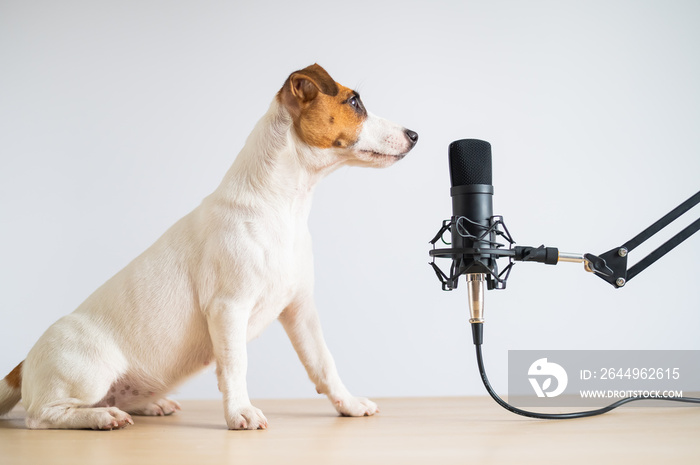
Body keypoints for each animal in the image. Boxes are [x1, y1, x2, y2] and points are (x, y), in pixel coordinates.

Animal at [0, 63, 416, 430]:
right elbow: (235, 365)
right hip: (89, 372)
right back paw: (101, 418)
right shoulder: (228, 308)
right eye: (354, 102)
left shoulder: (300, 310)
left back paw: (148, 405)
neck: (284, 206)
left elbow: (323, 363)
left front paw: (349, 404)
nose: (414, 134)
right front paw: (240, 413)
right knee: (42, 416)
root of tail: (24, 364)